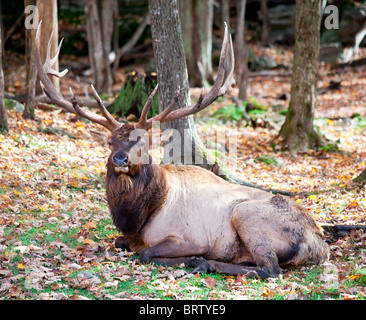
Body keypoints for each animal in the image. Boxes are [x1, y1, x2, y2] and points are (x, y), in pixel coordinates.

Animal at [33, 22, 328, 278]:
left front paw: (191, 259)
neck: (139, 218)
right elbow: (119, 243)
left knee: (270, 269)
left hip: (248, 216)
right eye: (109, 142)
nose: (120, 158)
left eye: (143, 140)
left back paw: (205, 263)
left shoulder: (191, 237)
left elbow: (146, 254)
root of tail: (320, 245)